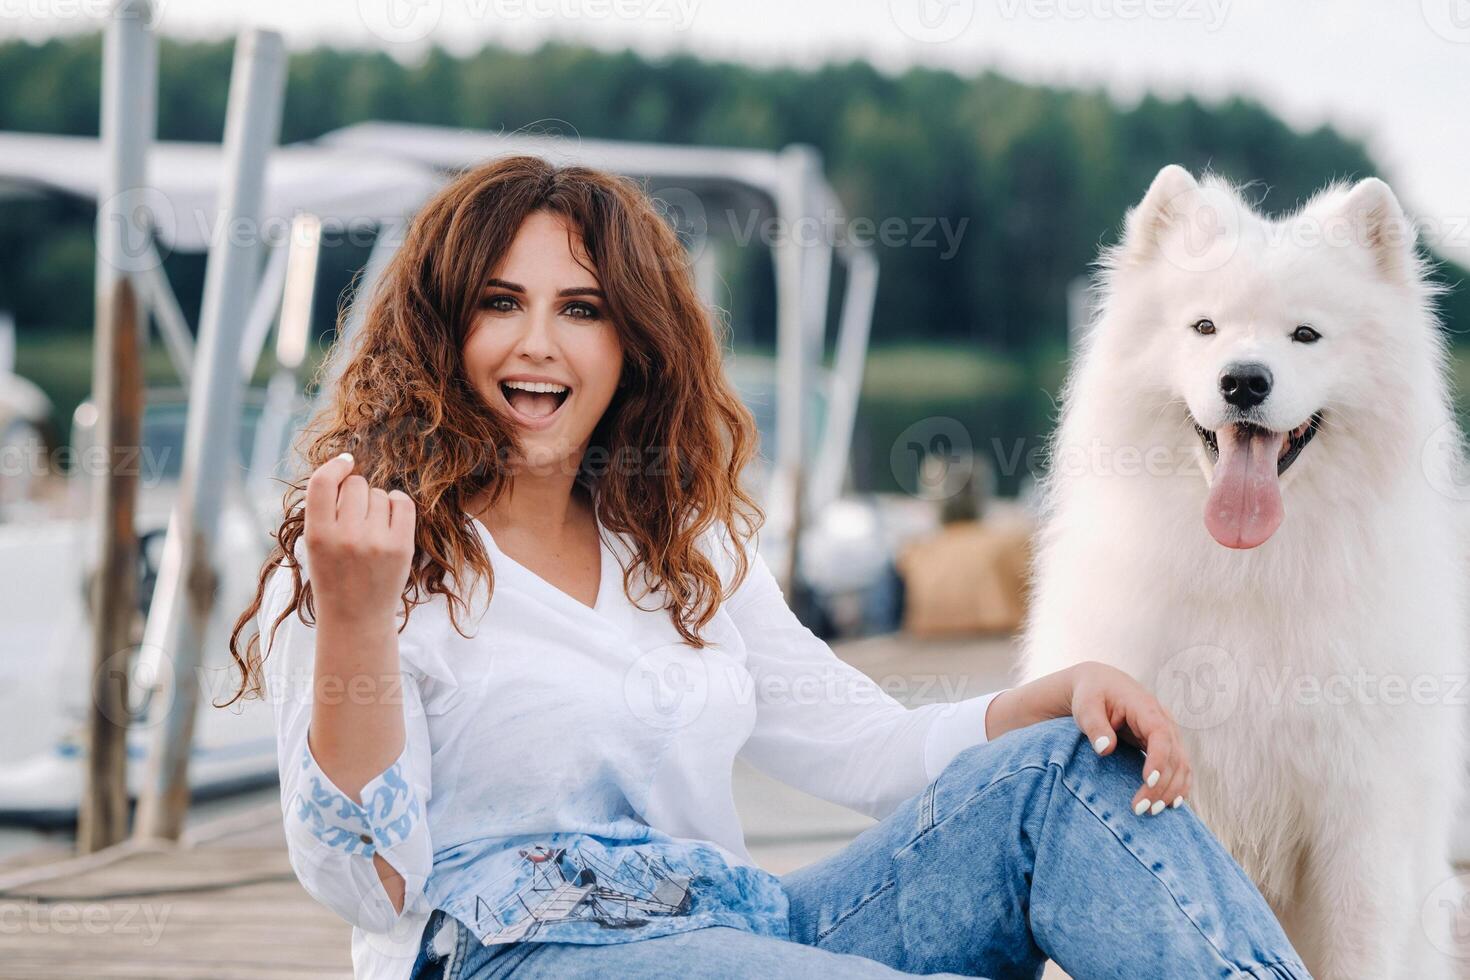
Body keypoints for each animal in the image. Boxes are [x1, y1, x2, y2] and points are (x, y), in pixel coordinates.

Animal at [1017, 164, 1470, 975]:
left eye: (1306, 334)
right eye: (1205, 328)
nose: (1244, 382)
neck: (1251, 574)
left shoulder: (1361, 821)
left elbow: (1359, 946)